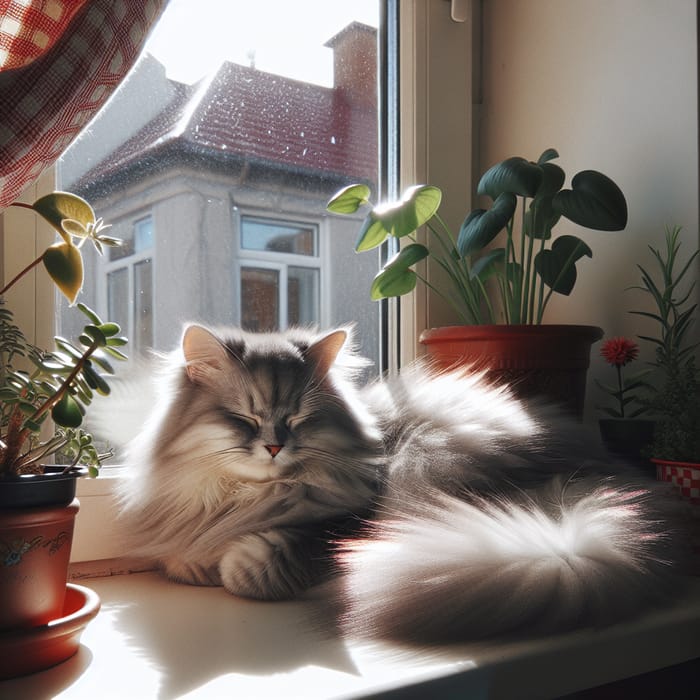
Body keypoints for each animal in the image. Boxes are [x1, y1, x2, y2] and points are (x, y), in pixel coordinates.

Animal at [117, 326, 692, 644]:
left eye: (299, 419)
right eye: (243, 419)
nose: (276, 447)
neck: (251, 501)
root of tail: (588, 470)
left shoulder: (344, 521)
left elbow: (253, 564)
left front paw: (230, 565)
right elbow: (183, 555)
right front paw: (199, 562)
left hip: (427, 467)